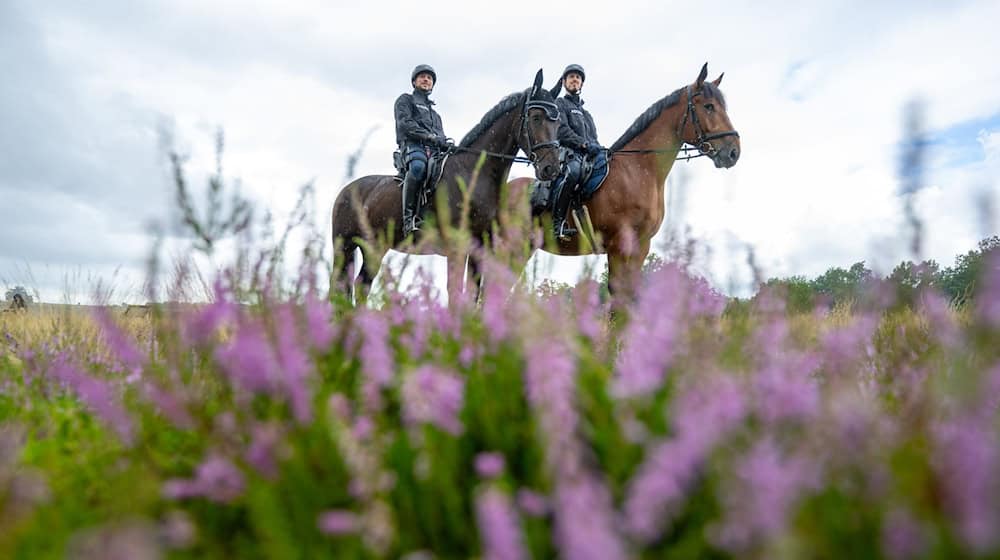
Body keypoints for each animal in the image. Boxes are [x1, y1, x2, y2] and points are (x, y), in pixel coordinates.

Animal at [330, 70, 560, 306]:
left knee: (360, 286)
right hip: (344, 247)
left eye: (558, 120)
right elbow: (455, 292)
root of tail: (347, 190)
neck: (472, 175)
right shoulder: (456, 247)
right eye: (536, 117)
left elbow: (472, 294)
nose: (551, 168)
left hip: (374, 247)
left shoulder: (480, 248)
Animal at [512, 64, 740, 312]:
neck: (637, 170)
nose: (734, 151)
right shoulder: (618, 245)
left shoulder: (641, 246)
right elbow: (618, 295)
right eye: (709, 106)